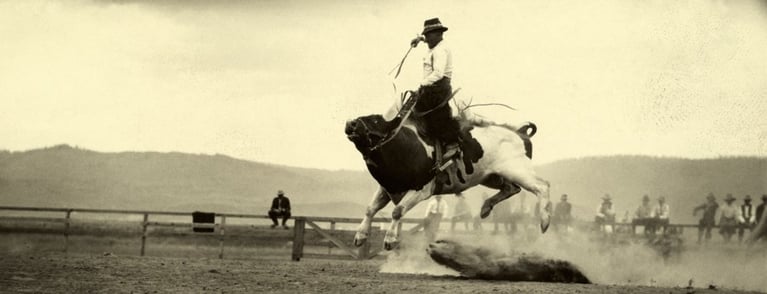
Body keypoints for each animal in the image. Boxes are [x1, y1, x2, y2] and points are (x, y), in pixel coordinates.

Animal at [346, 107, 552, 249]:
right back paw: (485, 208)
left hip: (518, 170)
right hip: (491, 177)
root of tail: (520, 132)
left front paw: (389, 240)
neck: (407, 145)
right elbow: (371, 209)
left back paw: (544, 221)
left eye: (375, 120)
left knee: (542, 186)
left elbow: (397, 211)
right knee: (512, 188)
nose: (350, 123)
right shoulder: (387, 188)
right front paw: (360, 236)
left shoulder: (421, 189)